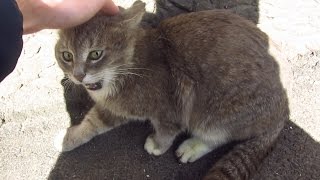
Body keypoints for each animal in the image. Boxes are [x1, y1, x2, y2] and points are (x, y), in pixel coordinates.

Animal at [54, 1, 290, 179]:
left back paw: (193, 146)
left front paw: (158, 145)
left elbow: (167, 130)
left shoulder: (173, 104)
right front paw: (70, 137)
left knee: (218, 136)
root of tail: (282, 111)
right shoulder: (114, 107)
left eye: (95, 54)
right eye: (66, 56)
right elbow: (93, 121)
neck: (130, 67)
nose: (78, 75)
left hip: (219, 113)